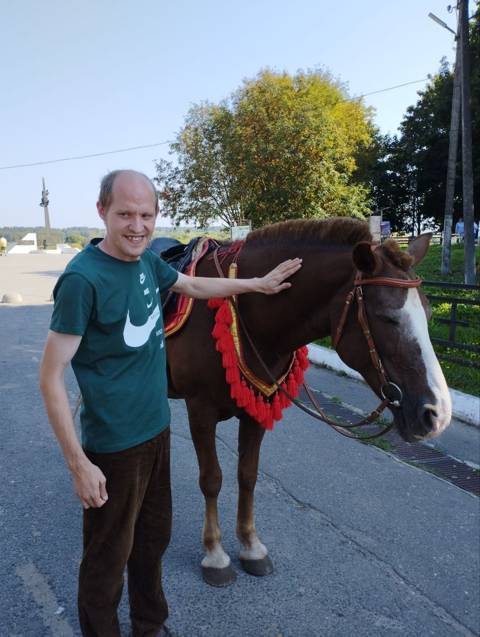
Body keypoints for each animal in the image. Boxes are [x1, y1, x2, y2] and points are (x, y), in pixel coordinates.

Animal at [163, 219, 452, 588]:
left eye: (428, 313)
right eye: (387, 317)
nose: (437, 415)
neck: (247, 313)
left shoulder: (258, 408)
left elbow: (248, 475)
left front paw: (251, 546)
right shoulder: (200, 409)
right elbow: (211, 479)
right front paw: (215, 554)